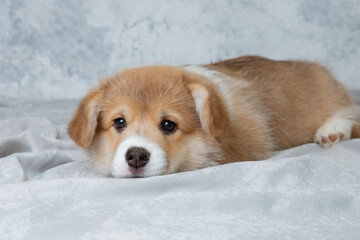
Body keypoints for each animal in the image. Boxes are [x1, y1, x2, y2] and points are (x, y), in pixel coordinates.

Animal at [68, 55, 360, 177]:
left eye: (168, 125)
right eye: (119, 122)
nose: (137, 156)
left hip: (329, 99)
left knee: (350, 112)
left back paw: (332, 130)